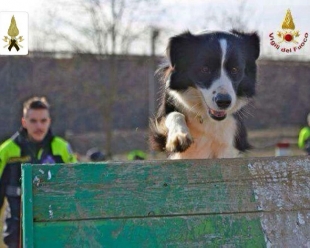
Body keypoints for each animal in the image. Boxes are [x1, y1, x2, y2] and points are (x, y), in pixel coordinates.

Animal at [150, 30, 260, 159]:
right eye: (205, 69)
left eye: (234, 70)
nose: (224, 102)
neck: (206, 116)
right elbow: (173, 115)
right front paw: (179, 137)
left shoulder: (231, 138)